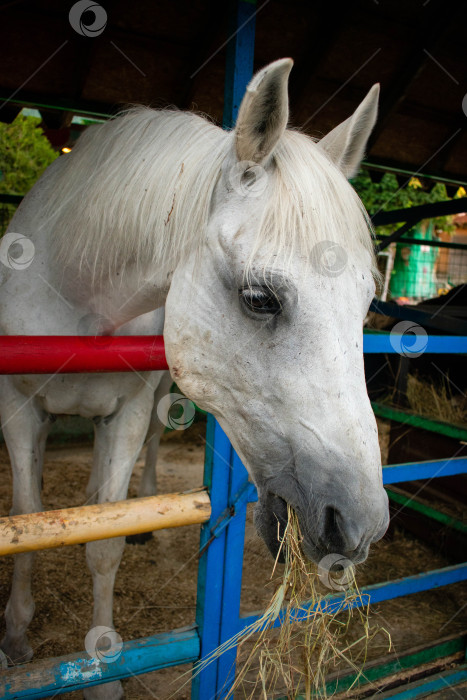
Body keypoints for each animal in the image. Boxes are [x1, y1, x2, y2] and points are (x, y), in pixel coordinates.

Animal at [0, 61, 390, 700]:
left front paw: (102, 670)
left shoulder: (129, 412)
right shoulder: (19, 413)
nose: (360, 524)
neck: (78, 293)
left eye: (365, 302)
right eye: (259, 299)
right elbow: (26, 525)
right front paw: (14, 641)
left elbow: (104, 543)